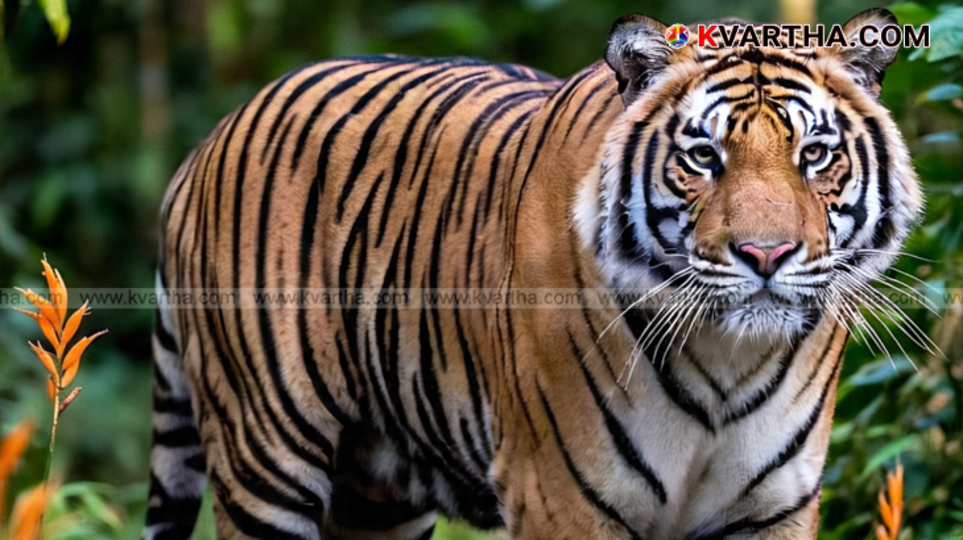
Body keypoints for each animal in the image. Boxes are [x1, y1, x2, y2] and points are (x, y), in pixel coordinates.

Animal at [145, 7, 922, 540]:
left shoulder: (773, 507)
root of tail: (206, 143)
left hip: (374, 492)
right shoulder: (561, 497)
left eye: (815, 154)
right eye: (703, 157)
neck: (726, 360)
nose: (766, 255)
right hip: (264, 458)